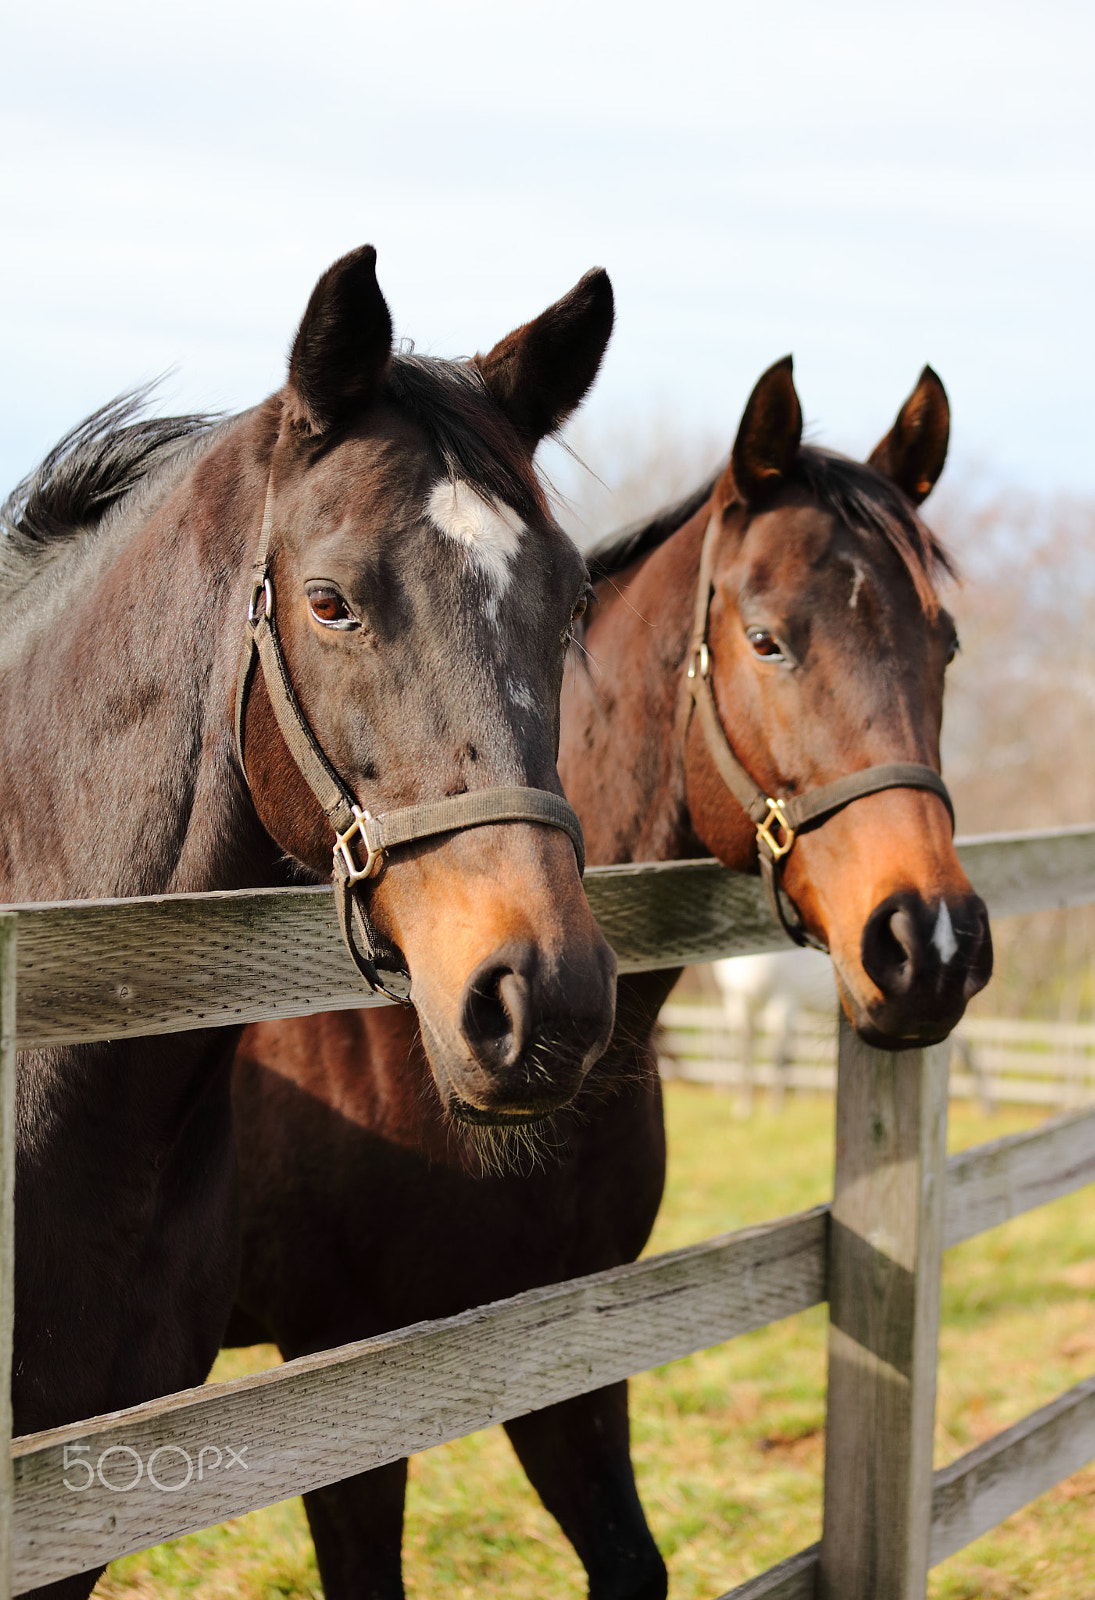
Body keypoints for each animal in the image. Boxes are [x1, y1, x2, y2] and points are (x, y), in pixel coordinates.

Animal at [227, 357, 994, 1600]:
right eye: (768, 641)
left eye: (947, 645)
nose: (926, 941)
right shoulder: (335, 1385)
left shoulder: (576, 1346)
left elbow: (632, 1561)